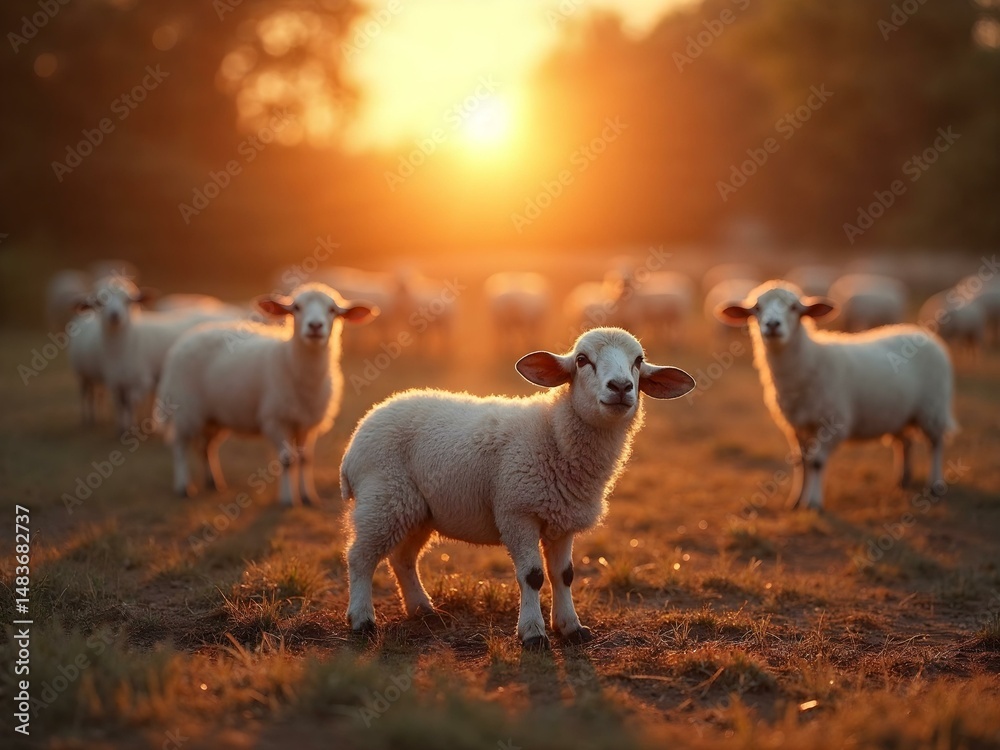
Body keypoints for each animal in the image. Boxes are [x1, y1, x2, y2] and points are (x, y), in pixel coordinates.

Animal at [157, 284, 376, 505]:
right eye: (296, 307)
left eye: (332, 310)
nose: (315, 326)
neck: (291, 362)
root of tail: (188, 338)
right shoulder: (275, 419)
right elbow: (288, 460)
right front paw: (288, 499)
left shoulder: (307, 423)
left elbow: (305, 459)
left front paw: (308, 496)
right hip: (185, 407)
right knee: (180, 445)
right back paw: (184, 486)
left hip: (213, 415)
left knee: (206, 446)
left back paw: (213, 482)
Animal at [339, 327, 696, 648]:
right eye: (582, 360)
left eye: (638, 361)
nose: (621, 387)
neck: (554, 434)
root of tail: (358, 436)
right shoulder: (517, 512)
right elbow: (533, 576)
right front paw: (533, 633)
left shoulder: (562, 518)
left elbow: (564, 574)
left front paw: (571, 627)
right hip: (384, 497)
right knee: (360, 557)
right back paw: (362, 619)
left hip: (417, 509)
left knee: (402, 559)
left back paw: (423, 610)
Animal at [716, 281, 955, 510]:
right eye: (757, 308)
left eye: (794, 307)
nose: (772, 325)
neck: (809, 361)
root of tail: (918, 331)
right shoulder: (796, 426)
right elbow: (801, 462)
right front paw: (796, 501)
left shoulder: (832, 423)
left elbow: (816, 463)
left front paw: (813, 503)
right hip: (897, 411)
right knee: (904, 442)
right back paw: (902, 480)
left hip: (933, 407)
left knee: (936, 443)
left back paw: (934, 484)